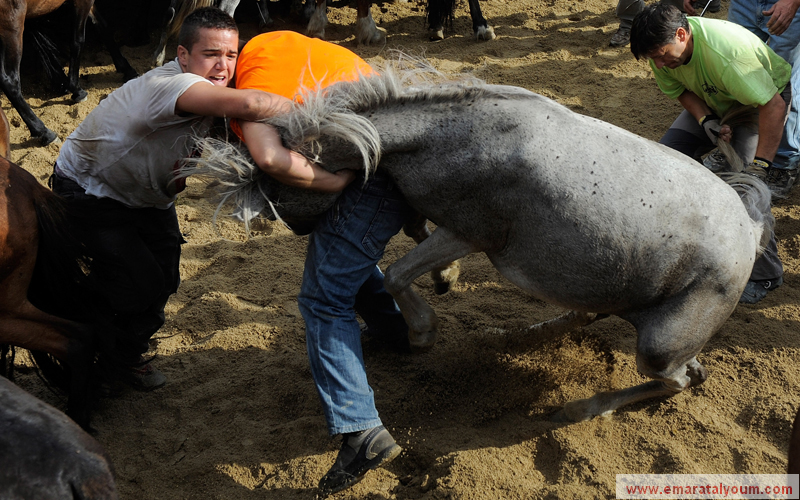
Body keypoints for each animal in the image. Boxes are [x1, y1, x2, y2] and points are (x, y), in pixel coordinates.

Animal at [0, 0, 138, 147]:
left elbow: (102, 26)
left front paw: (127, 69)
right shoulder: (82, 3)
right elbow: (78, 41)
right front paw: (77, 90)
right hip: (12, 25)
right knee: (9, 81)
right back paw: (44, 132)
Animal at [184, 63, 772, 422]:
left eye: (277, 188)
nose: (299, 231)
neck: (456, 135)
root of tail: (750, 227)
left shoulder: (469, 232)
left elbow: (398, 273)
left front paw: (423, 330)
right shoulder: (438, 218)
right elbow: (413, 237)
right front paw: (446, 281)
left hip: (661, 343)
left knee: (680, 378)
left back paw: (582, 408)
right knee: (608, 327)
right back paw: (515, 336)